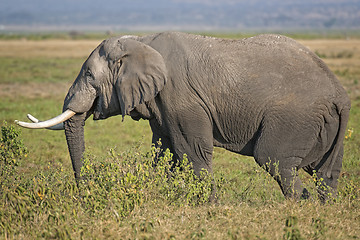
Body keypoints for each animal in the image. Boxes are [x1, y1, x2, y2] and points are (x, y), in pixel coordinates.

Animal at [15, 31, 350, 201]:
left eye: (87, 74)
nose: (83, 193)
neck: (141, 41)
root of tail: (341, 95)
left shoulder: (180, 96)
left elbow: (191, 151)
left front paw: (208, 206)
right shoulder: (160, 103)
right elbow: (165, 151)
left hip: (295, 117)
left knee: (274, 159)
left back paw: (299, 206)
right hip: (323, 125)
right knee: (324, 171)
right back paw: (323, 208)